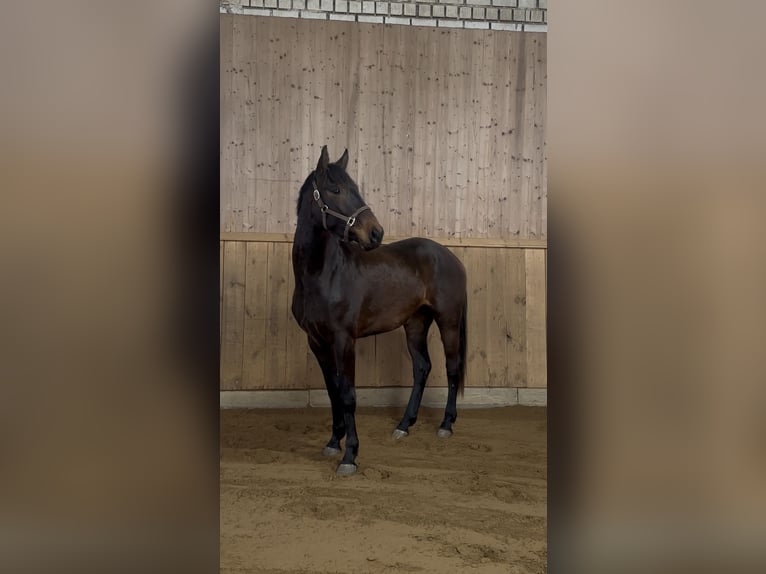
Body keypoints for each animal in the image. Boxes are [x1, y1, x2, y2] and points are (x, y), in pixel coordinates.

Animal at [291, 146, 468, 476]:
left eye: (356, 189)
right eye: (335, 189)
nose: (376, 233)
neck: (323, 275)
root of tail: (450, 258)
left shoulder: (344, 340)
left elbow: (348, 395)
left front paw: (350, 456)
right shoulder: (317, 342)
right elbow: (333, 391)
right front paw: (333, 443)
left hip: (448, 321)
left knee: (452, 368)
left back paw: (446, 425)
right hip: (415, 324)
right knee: (422, 367)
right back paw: (403, 426)